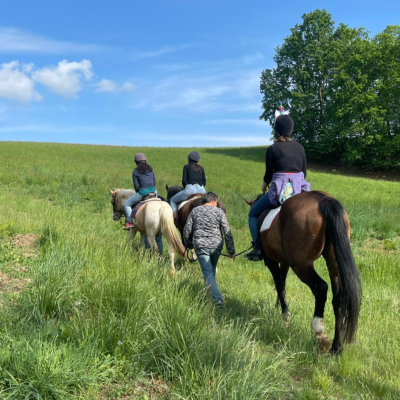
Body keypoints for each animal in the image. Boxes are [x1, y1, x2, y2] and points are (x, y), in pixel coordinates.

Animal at [244, 191, 362, 354]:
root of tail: (323, 200)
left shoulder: (271, 261)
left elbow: (279, 285)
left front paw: (285, 316)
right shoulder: (284, 262)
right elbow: (283, 283)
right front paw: (280, 308)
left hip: (301, 265)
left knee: (321, 288)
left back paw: (319, 332)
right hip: (333, 263)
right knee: (339, 299)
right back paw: (336, 347)